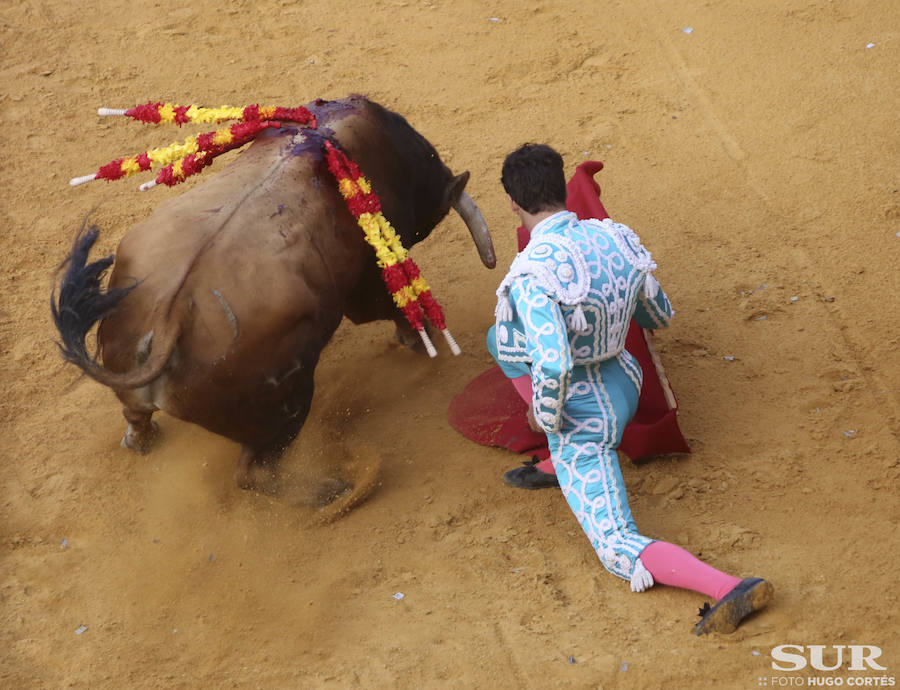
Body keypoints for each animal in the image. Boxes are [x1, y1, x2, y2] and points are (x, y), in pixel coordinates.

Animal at [52, 95, 496, 490]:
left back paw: (140, 440)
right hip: (287, 411)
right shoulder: (369, 284)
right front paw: (422, 345)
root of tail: (168, 321)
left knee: (135, 415)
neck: (325, 135)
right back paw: (335, 491)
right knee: (255, 474)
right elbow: (397, 312)